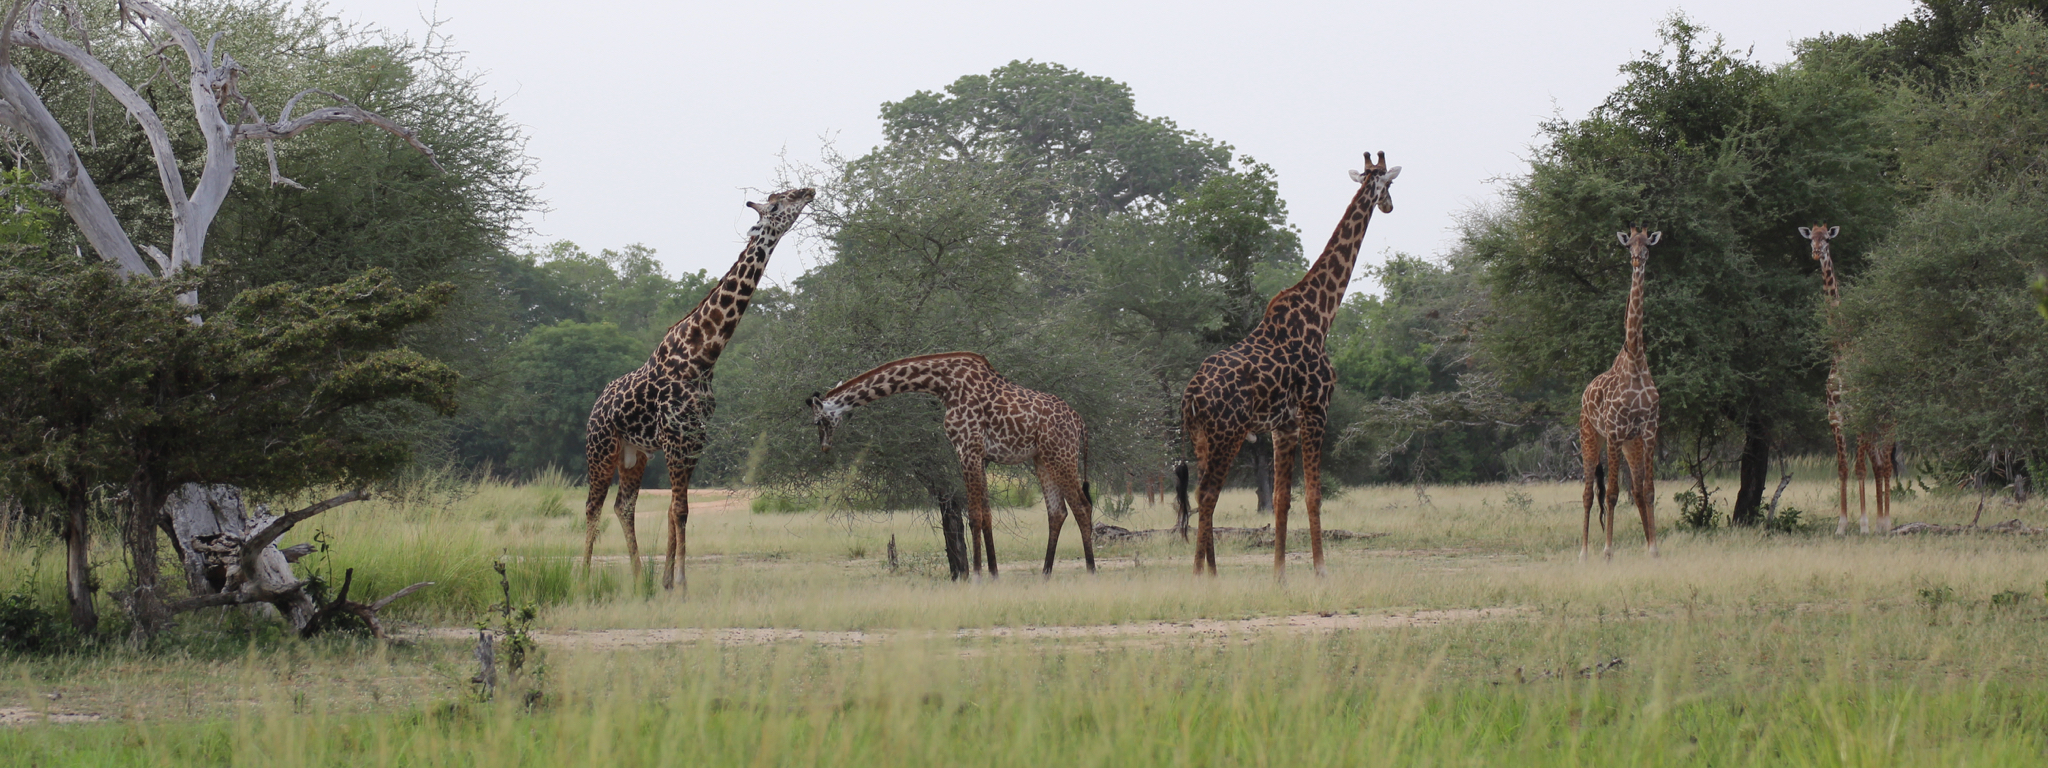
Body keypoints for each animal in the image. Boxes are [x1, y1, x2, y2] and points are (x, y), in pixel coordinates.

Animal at [581, 185, 811, 589]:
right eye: (779, 202)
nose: (809, 190)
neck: (703, 354)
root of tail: (594, 408)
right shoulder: (676, 437)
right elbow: (681, 510)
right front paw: (682, 584)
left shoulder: (694, 439)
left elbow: (676, 509)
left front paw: (666, 582)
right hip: (601, 449)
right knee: (592, 508)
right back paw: (580, 579)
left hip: (634, 455)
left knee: (623, 506)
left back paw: (639, 579)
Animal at [806, 354, 1097, 577]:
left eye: (818, 421)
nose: (824, 446)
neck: (943, 384)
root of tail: (1081, 423)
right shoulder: (980, 455)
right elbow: (986, 514)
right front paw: (993, 574)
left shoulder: (967, 448)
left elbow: (975, 515)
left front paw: (977, 576)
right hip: (1042, 458)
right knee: (1057, 511)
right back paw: (1045, 575)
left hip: (1060, 454)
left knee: (1082, 506)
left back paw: (1091, 571)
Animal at [1179, 153, 1400, 581]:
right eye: (1390, 184)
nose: (1389, 206)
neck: (1321, 315)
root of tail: (1190, 395)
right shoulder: (1316, 411)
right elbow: (1313, 494)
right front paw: (1321, 572)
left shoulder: (1284, 425)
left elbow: (1282, 498)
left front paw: (1279, 575)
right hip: (1228, 433)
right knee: (1208, 493)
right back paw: (1199, 576)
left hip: (1201, 437)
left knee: (1200, 494)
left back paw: (1211, 573)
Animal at [1802, 222, 1892, 536]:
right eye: (1810, 238)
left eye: (1827, 239)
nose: (1816, 253)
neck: (1841, 350)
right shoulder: (1835, 415)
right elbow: (1843, 468)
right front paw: (1842, 525)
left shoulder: (1859, 412)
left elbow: (1860, 468)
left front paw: (1863, 525)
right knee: (1880, 463)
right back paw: (1881, 522)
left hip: (1886, 422)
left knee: (1886, 465)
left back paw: (1886, 522)